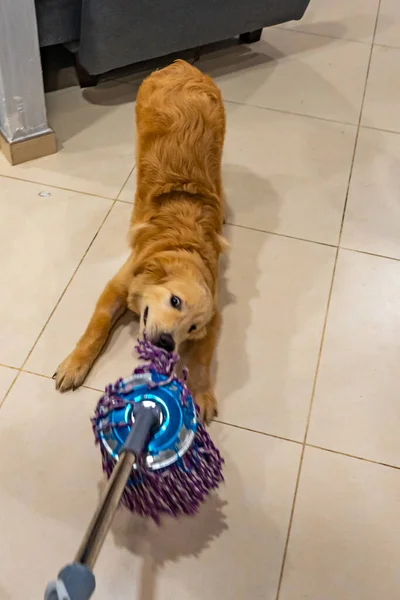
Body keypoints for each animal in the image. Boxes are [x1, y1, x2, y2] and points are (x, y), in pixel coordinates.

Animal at [54, 58, 227, 420]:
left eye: (193, 328)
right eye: (175, 301)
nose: (166, 344)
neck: (181, 246)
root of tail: (181, 64)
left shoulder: (214, 311)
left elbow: (202, 358)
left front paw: (201, 393)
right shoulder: (117, 285)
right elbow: (95, 329)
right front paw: (75, 365)